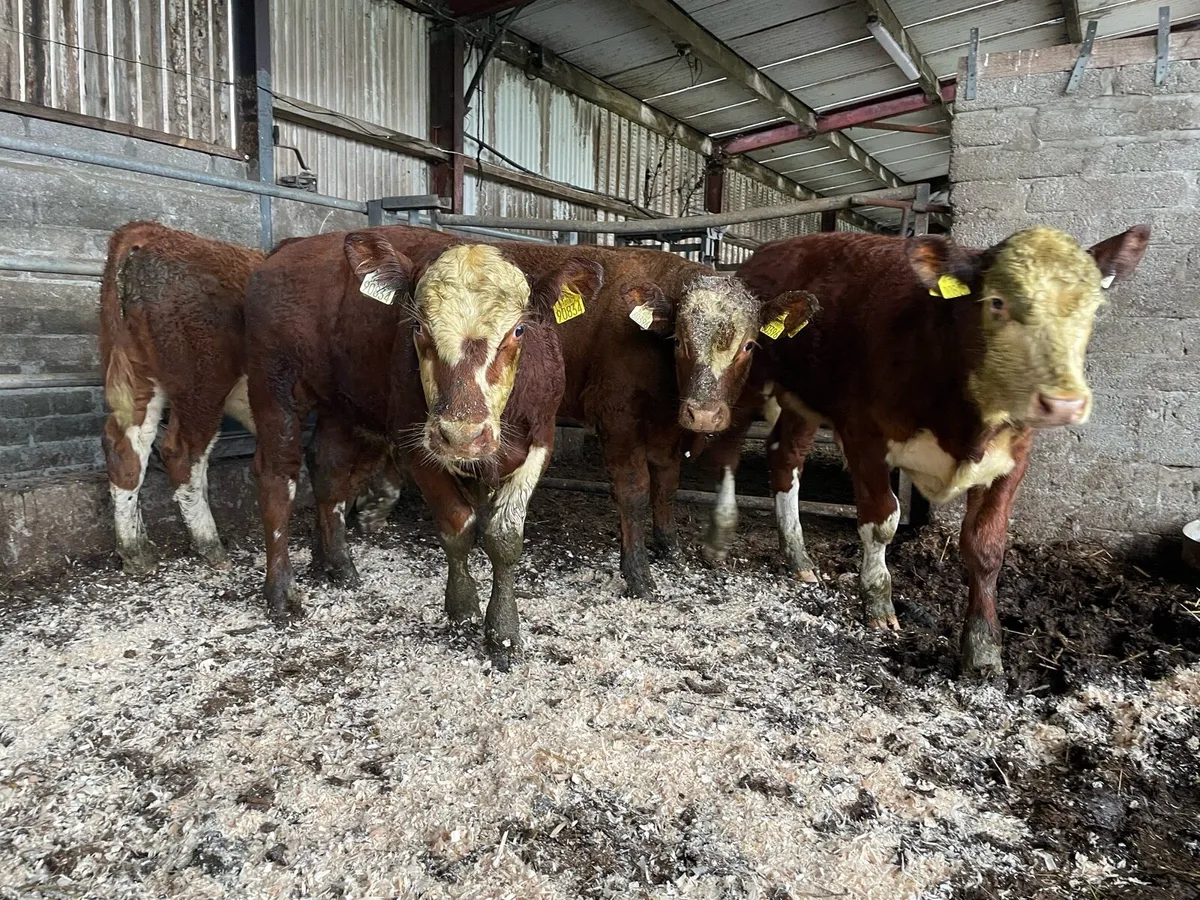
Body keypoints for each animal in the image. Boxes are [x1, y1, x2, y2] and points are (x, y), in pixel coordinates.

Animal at [100, 221, 262, 575]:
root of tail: (153, 232)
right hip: (202, 385)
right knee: (182, 454)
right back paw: (210, 545)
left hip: (138, 378)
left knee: (127, 449)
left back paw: (136, 551)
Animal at [243, 225, 603, 669]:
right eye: (418, 328)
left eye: (519, 330)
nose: (462, 434)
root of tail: (290, 246)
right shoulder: (417, 442)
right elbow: (458, 525)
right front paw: (462, 609)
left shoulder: (541, 438)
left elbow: (503, 536)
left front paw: (503, 633)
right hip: (273, 385)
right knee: (278, 476)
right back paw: (280, 590)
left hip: (342, 404)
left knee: (328, 471)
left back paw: (336, 564)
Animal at [700, 225, 1150, 675]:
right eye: (997, 302)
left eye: (1094, 307)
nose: (1064, 404)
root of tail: (772, 249)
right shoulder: (863, 435)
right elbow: (882, 521)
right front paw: (878, 602)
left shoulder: (1014, 458)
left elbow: (987, 546)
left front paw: (983, 650)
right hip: (745, 380)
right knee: (727, 451)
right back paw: (720, 534)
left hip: (804, 400)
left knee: (785, 457)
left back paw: (798, 558)